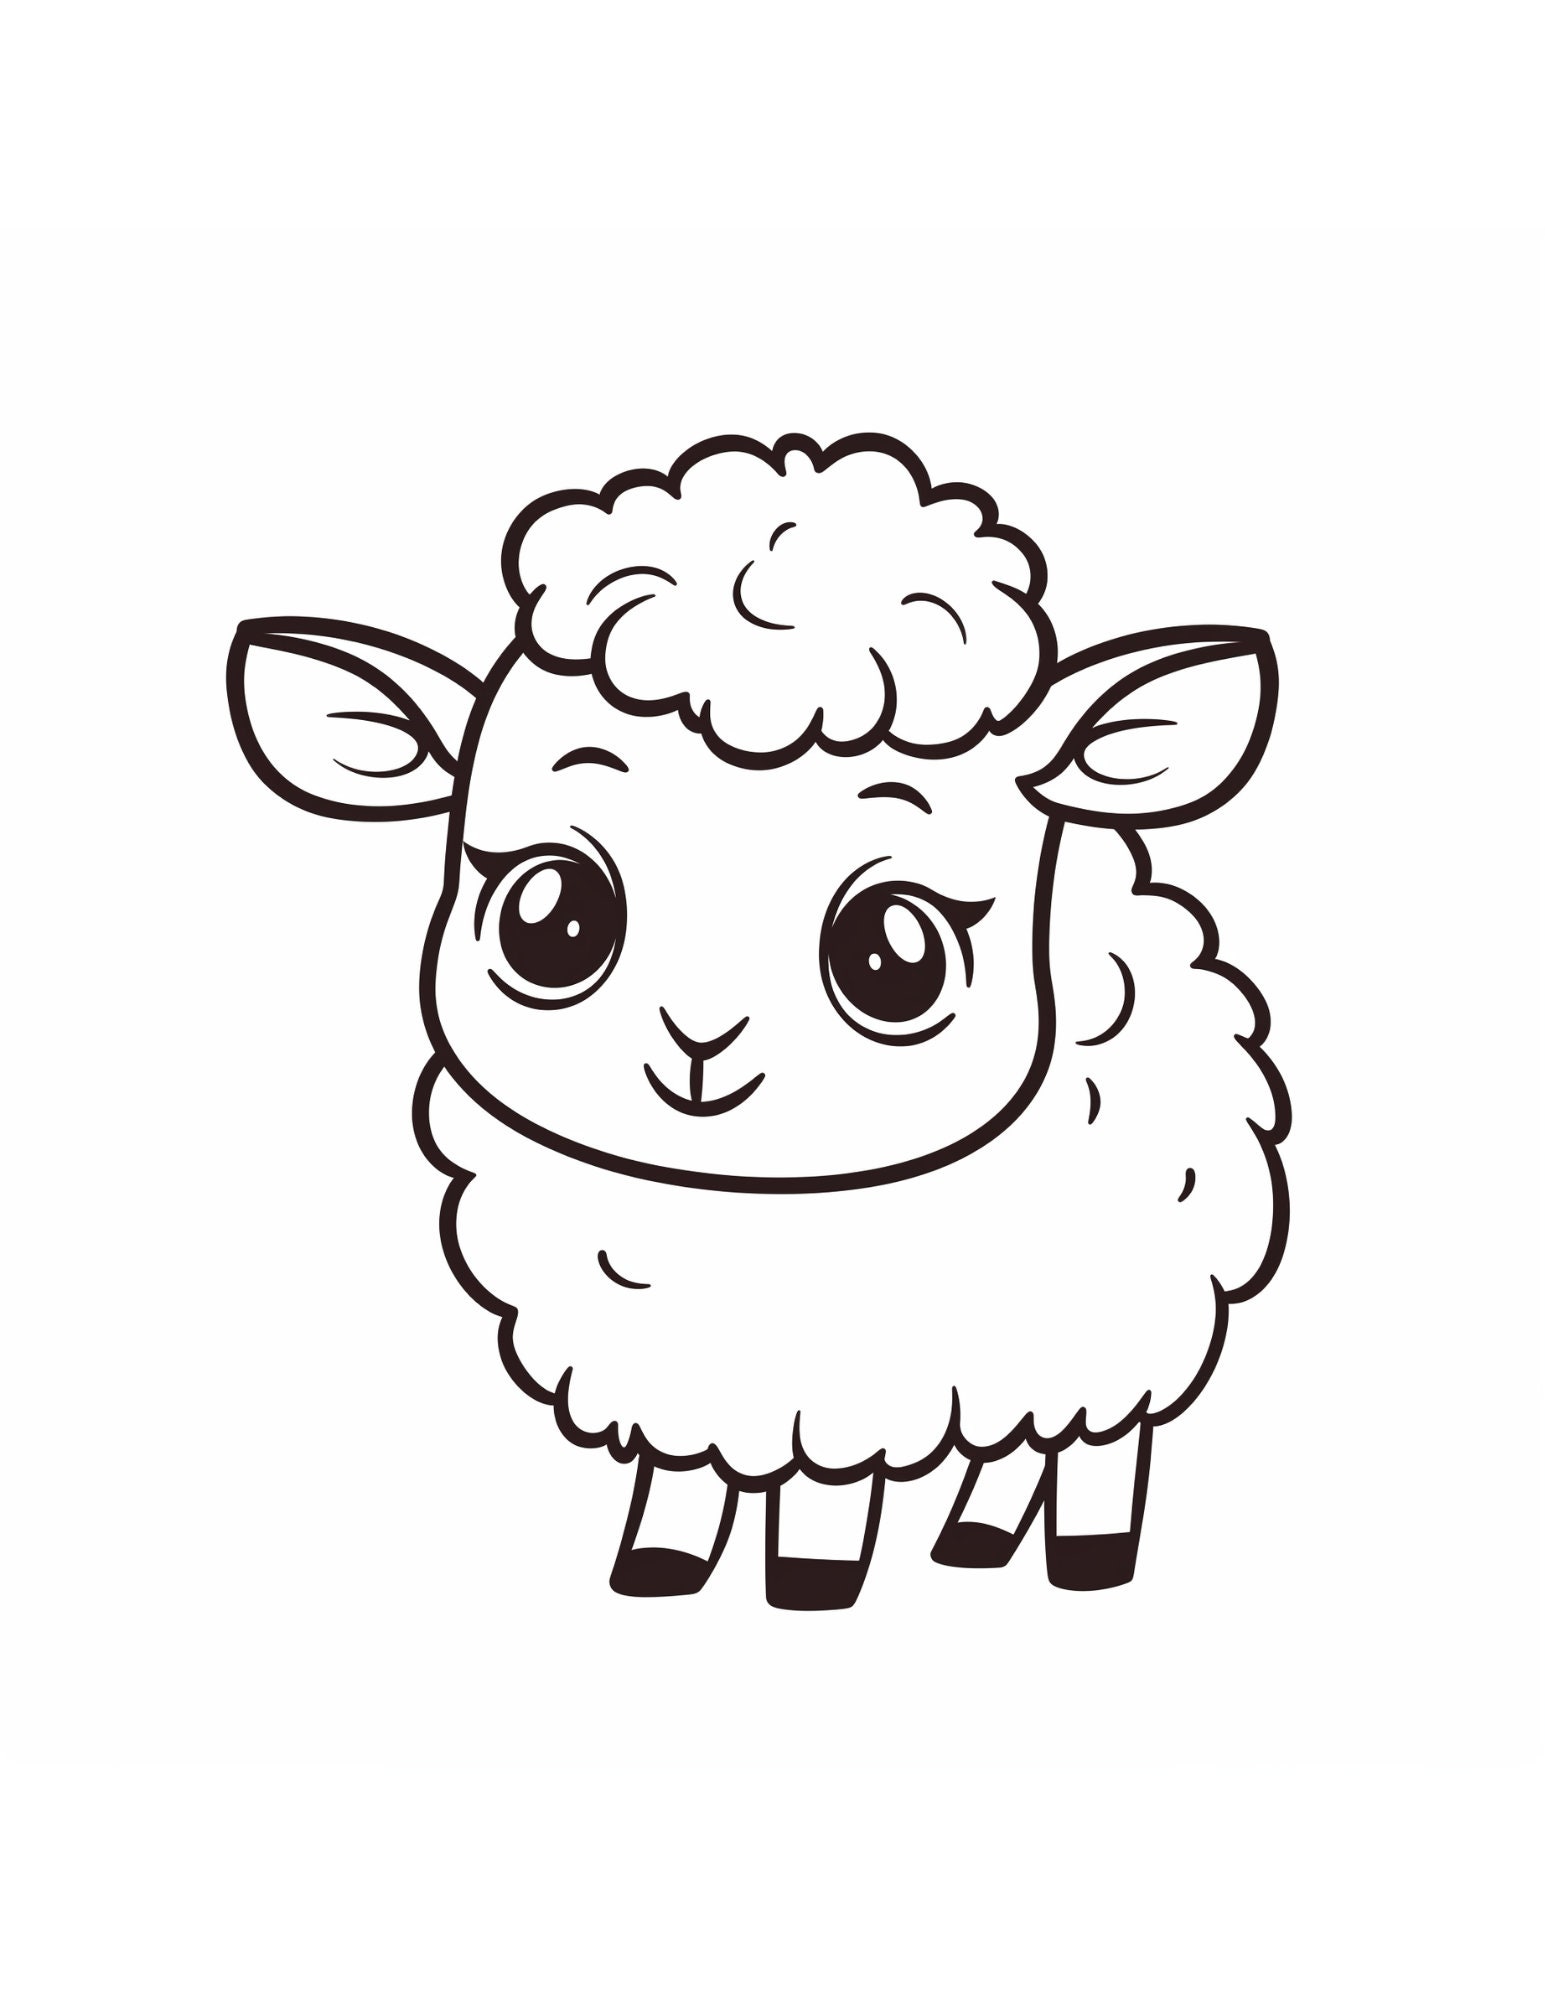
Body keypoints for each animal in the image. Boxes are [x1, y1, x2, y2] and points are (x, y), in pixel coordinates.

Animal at [228, 431, 1289, 1610]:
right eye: (550, 918)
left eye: (893, 955)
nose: (699, 1045)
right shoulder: (684, 1367)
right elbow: (683, 1477)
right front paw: (660, 1561)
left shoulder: (838, 1376)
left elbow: (823, 1494)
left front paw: (812, 1577)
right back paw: (973, 1536)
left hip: (1115, 1317)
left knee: (1096, 1440)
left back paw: (1083, 1552)